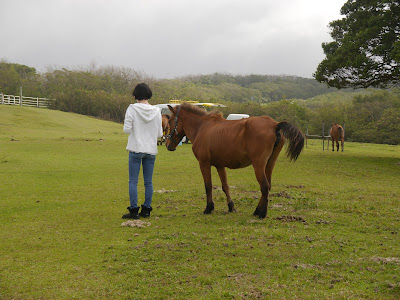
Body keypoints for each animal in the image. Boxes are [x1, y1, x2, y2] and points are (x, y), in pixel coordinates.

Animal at [165, 103, 304, 218]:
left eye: (170, 121)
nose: (167, 145)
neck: (202, 127)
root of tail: (275, 124)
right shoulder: (220, 165)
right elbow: (225, 186)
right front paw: (231, 206)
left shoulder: (204, 163)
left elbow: (208, 186)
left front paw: (209, 208)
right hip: (269, 164)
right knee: (268, 186)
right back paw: (257, 210)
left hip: (258, 165)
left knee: (264, 186)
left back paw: (262, 213)